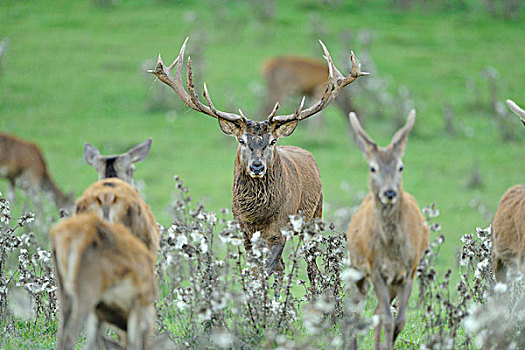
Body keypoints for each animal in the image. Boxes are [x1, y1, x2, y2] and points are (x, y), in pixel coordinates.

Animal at [51, 213, 158, 350]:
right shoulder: (139, 301)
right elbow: (134, 344)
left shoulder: (98, 311)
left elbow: (93, 343)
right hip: (87, 290)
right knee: (69, 336)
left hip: (63, 291)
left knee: (61, 335)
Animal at [148, 37, 368, 294]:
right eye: (241, 140)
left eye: (272, 141)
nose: (256, 167)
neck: (258, 214)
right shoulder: (243, 229)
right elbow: (258, 270)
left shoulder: (280, 227)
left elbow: (266, 269)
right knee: (283, 267)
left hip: (315, 215)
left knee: (311, 265)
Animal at [346, 110, 428, 350]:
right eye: (372, 168)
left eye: (401, 166)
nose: (389, 192)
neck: (392, 251)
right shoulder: (375, 271)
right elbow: (389, 320)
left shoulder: (409, 271)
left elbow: (399, 321)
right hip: (357, 268)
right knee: (354, 311)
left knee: (375, 313)